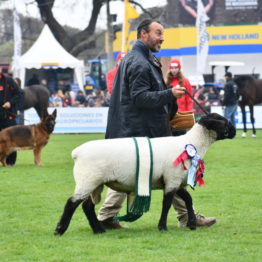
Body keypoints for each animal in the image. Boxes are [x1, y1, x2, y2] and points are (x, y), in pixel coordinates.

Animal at [54, 113, 236, 235]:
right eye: (224, 121)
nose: (234, 131)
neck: (191, 144)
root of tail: (77, 152)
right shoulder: (172, 180)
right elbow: (167, 203)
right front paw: (162, 227)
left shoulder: (176, 181)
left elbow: (188, 200)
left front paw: (192, 223)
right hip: (88, 179)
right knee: (72, 203)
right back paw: (60, 229)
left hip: (95, 183)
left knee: (87, 206)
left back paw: (98, 230)